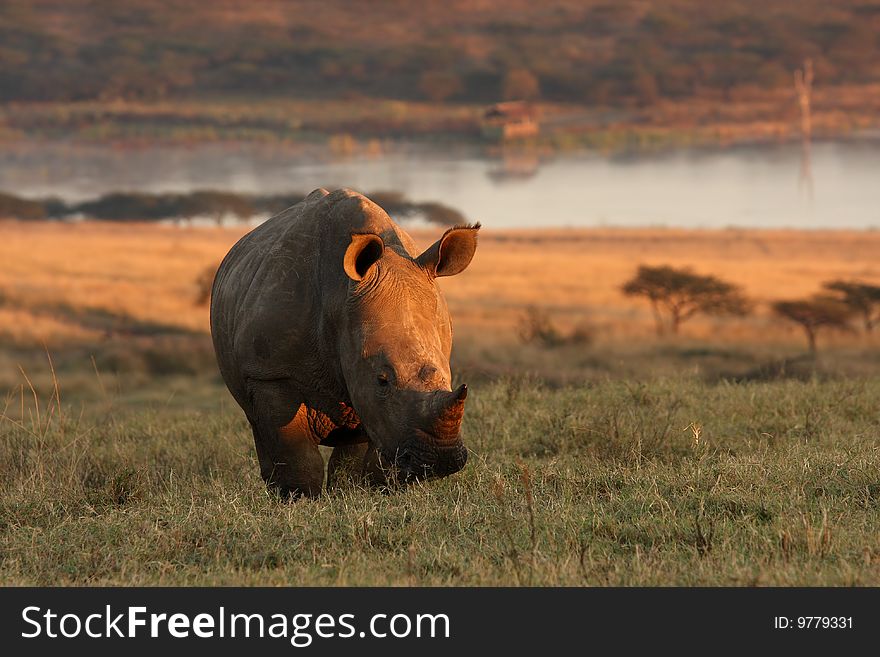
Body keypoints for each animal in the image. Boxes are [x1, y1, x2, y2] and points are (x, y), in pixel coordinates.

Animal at [209, 188, 478, 498]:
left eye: (447, 376)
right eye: (382, 380)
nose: (440, 461)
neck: (340, 299)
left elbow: (355, 454)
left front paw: (351, 493)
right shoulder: (270, 373)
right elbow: (296, 453)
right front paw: (299, 498)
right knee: (256, 420)